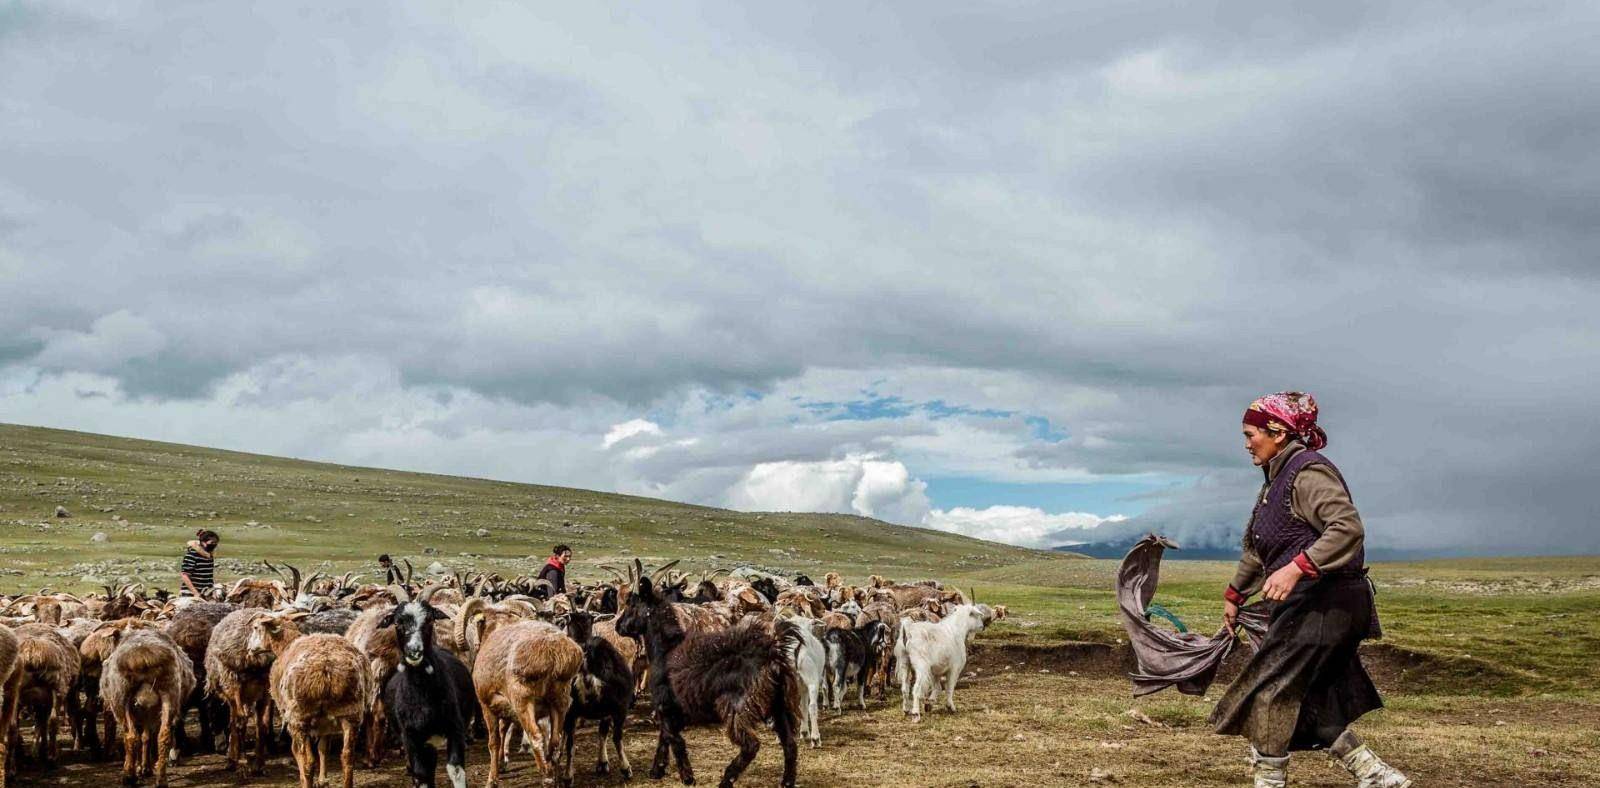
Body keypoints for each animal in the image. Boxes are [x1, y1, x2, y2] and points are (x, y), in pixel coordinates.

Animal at [99, 627, 192, 788]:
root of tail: (144, 655)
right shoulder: (148, 714)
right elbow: (146, 737)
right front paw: (145, 768)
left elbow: (141, 737)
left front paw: (139, 769)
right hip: (169, 692)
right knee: (163, 735)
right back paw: (161, 779)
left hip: (121, 696)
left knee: (130, 736)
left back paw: (128, 776)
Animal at [267, 634, 369, 788]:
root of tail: (325, 670)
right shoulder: (325, 725)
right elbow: (323, 748)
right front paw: (322, 780)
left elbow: (299, 750)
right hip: (351, 713)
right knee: (347, 757)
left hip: (301, 717)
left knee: (307, 761)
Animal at [379, 586, 473, 788]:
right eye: (397, 622)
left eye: (429, 620)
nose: (414, 651)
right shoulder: (411, 738)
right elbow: (421, 776)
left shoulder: (456, 729)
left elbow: (456, 771)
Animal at [560, 608, 633, 781]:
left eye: (590, 619)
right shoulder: (614, 708)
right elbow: (606, 733)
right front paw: (606, 764)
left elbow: (601, 732)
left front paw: (602, 763)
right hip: (619, 707)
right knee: (616, 736)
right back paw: (625, 769)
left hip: (571, 711)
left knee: (571, 741)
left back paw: (566, 774)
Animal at [617, 560, 806, 788]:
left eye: (631, 603)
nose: (618, 626)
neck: (666, 648)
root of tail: (772, 658)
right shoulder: (672, 708)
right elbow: (665, 736)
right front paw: (657, 770)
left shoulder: (665, 704)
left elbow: (674, 738)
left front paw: (687, 776)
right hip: (780, 706)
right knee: (790, 744)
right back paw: (786, 781)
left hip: (737, 708)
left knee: (751, 745)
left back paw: (726, 779)